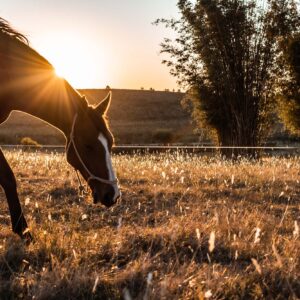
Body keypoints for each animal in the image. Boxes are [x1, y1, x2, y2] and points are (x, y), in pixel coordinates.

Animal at [0, 18, 120, 241]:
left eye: (111, 143)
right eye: (88, 145)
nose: (113, 195)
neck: (8, 71)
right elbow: (8, 178)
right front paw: (24, 231)